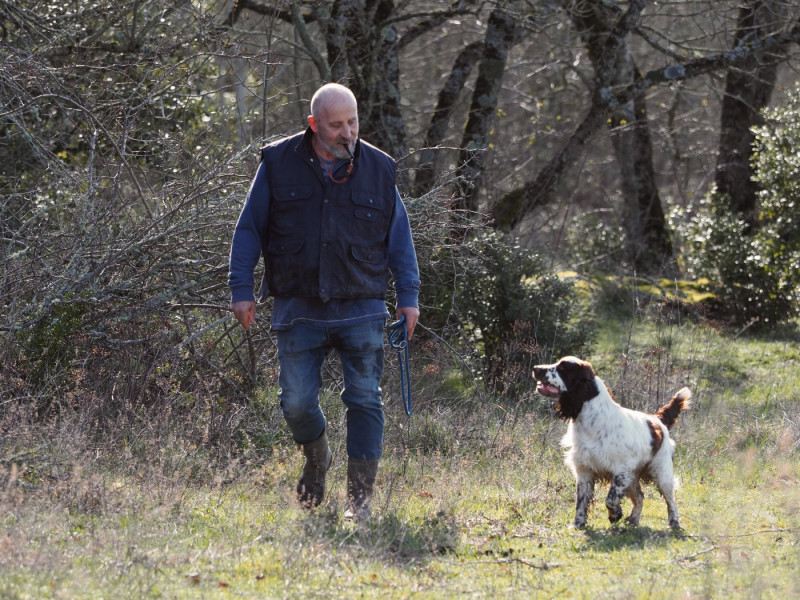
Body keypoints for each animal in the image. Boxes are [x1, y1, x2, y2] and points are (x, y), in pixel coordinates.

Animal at [533, 356, 691, 529]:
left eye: (562, 368)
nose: (535, 368)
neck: (591, 420)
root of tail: (657, 420)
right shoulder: (585, 470)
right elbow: (581, 502)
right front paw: (578, 524)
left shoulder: (621, 470)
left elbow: (610, 498)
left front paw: (615, 515)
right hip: (633, 477)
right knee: (640, 496)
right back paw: (633, 519)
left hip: (661, 473)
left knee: (671, 500)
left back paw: (674, 523)